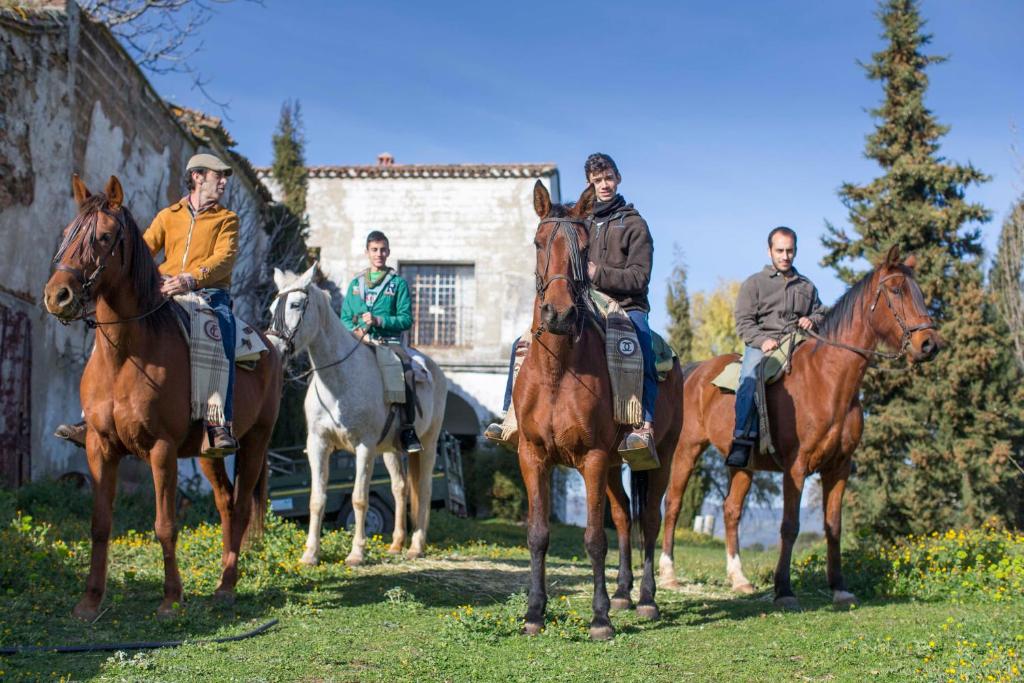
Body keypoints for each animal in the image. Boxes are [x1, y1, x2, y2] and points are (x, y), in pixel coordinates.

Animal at [42, 176, 282, 618]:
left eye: (104, 237)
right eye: (67, 233)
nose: (58, 296)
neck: (125, 355)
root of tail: (270, 345)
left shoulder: (161, 449)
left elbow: (165, 525)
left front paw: (171, 599)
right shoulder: (100, 448)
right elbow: (100, 524)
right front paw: (90, 601)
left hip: (256, 441)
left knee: (241, 508)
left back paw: (227, 586)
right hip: (208, 453)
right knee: (225, 503)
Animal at [268, 264, 448, 565]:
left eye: (295, 304)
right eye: (272, 308)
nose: (273, 348)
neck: (339, 380)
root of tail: (434, 369)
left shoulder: (364, 447)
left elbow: (359, 498)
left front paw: (356, 553)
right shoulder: (318, 444)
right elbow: (317, 499)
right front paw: (310, 554)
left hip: (428, 443)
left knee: (423, 489)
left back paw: (416, 546)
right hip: (392, 450)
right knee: (400, 488)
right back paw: (396, 544)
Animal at [516, 181, 684, 643]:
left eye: (585, 247)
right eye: (538, 242)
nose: (558, 313)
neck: (557, 370)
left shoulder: (590, 459)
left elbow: (594, 538)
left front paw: (600, 618)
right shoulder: (533, 456)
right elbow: (538, 535)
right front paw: (534, 613)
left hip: (657, 459)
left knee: (648, 521)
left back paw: (645, 600)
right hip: (611, 467)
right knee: (625, 516)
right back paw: (624, 592)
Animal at [655, 246, 937, 610]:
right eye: (897, 290)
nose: (929, 344)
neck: (828, 380)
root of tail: (695, 372)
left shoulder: (839, 468)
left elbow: (834, 527)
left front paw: (839, 587)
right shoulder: (796, 466)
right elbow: (789, 526)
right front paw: (784, 589)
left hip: (742, 464)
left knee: (731, 511)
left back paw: (739, 579)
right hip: (687, 451)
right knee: (674, 504)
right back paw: (669, 574)